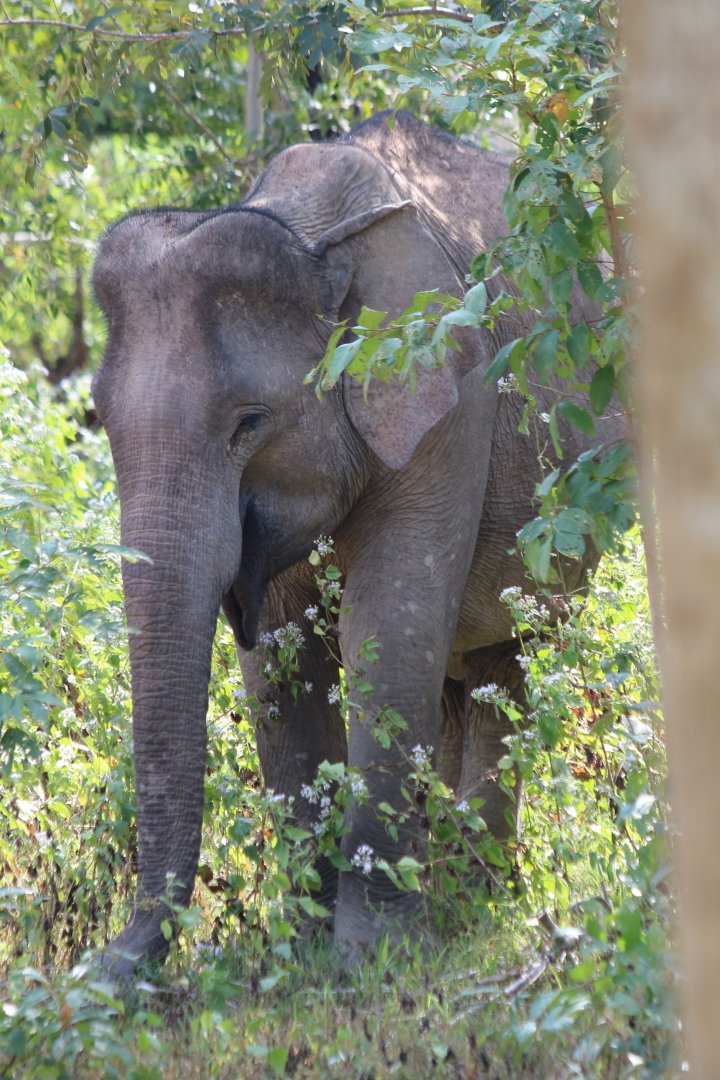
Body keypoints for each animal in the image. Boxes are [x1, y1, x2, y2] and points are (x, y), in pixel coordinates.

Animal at [91, 110, 625, 976]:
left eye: (249, 423)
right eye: (99, 419)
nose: (102, 966)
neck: (309, 231)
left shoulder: (452, 393)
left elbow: (386, 623)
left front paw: (370, 958)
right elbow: (280, 655)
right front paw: (308, 945)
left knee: (502, 667)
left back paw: (471, 899)